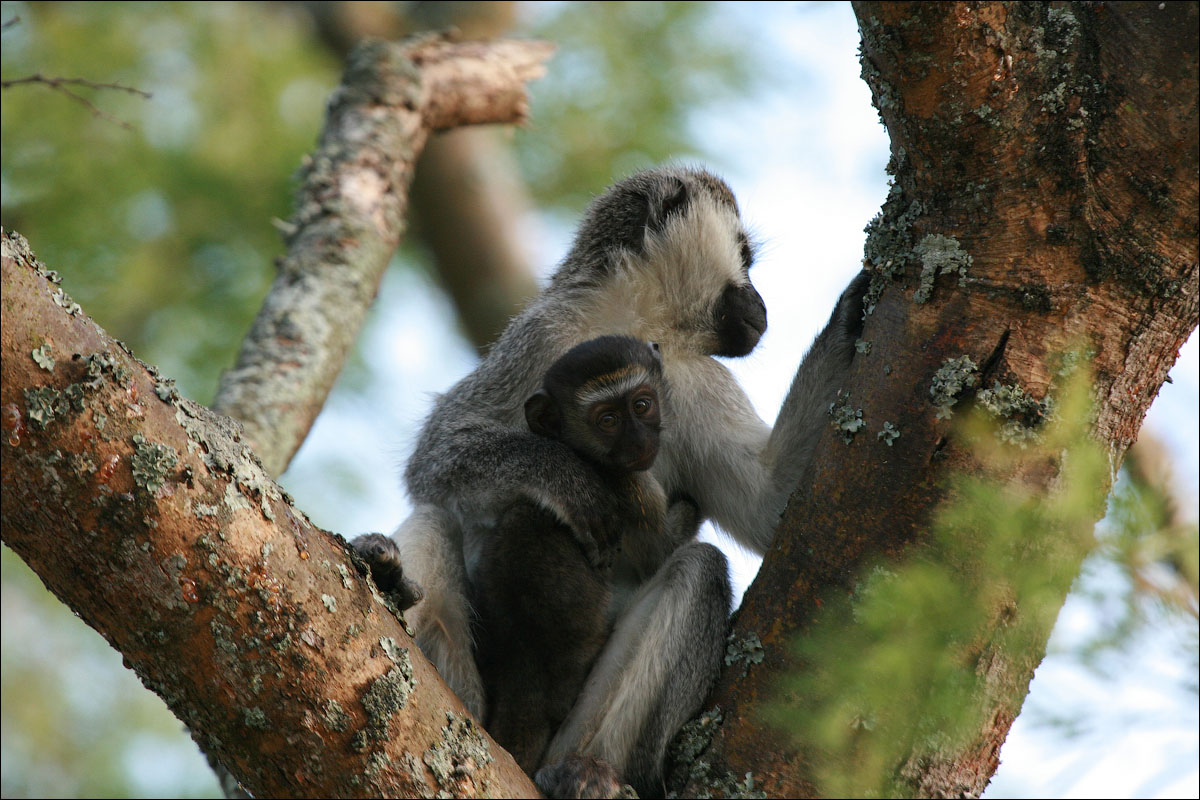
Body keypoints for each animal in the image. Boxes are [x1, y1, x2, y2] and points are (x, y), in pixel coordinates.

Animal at [470, 335, 699, 784]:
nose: (638, 442)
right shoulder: (633, 487)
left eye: (641, 405)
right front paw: (689, 511)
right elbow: (664, 551)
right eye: (607, 420)